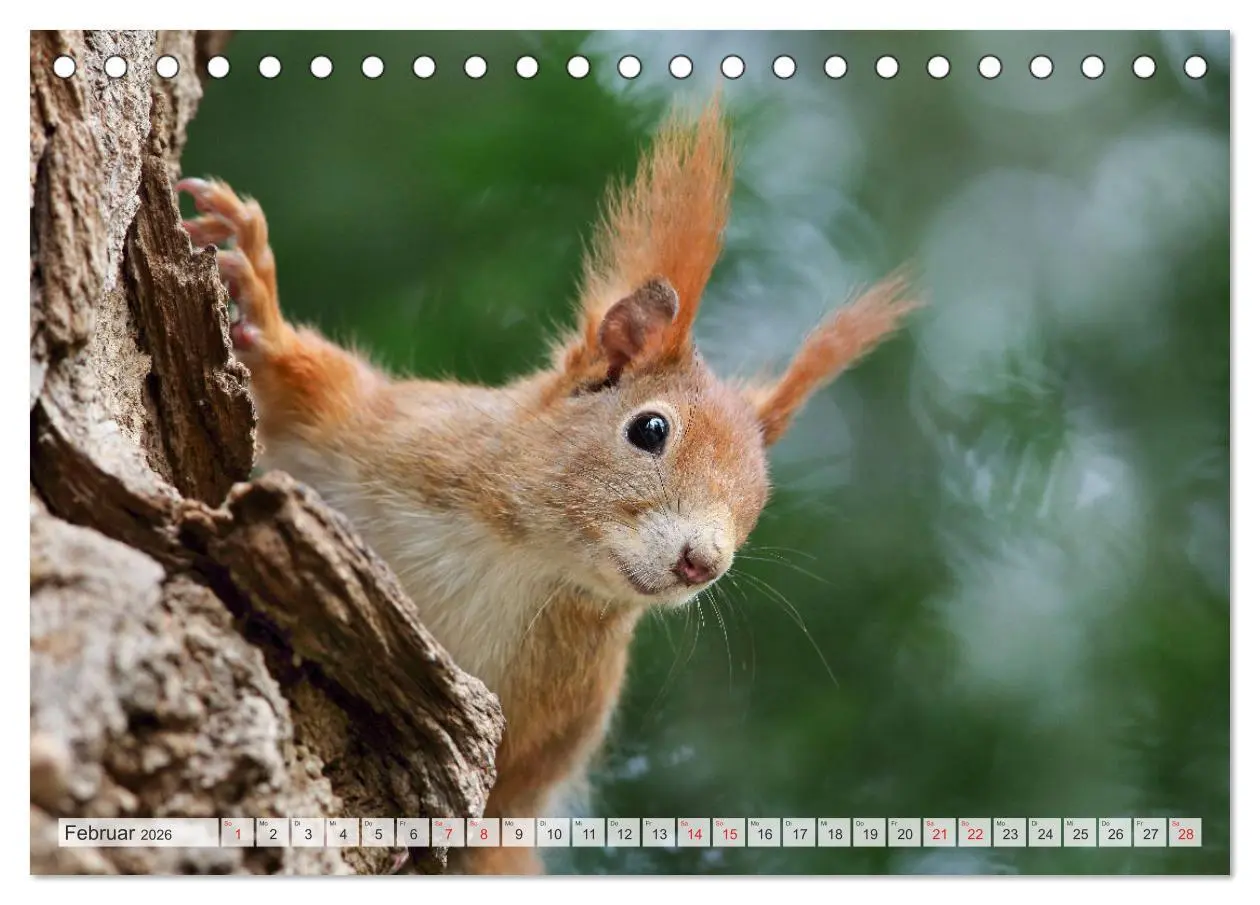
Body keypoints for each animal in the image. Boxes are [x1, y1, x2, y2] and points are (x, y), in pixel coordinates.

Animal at [177, 97, 917, 875]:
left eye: (758, 503)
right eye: (650, 429)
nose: (703, 562)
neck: (527, 555)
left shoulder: (553, 724)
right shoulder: (384, 430)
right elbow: (300, 389)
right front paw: (256, 287)